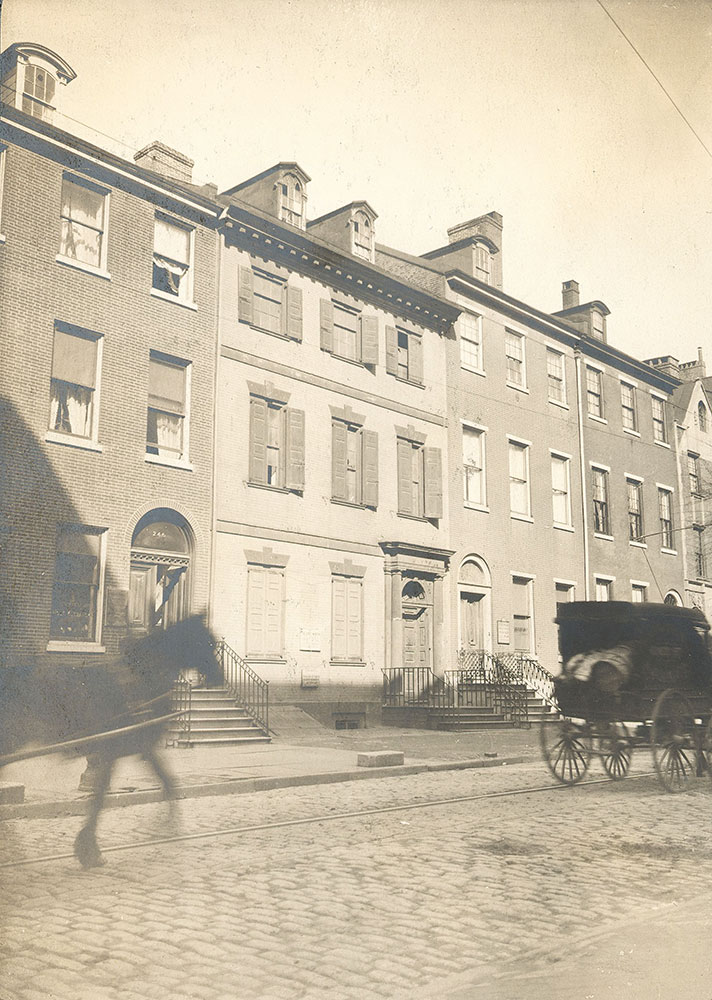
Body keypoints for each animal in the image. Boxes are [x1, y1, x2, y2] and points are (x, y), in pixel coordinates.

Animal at [0, 616, 222, 868]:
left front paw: (167, 825)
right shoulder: (110, 751)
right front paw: (89, 850)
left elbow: (166, 779)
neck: (144, 677)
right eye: (206, 642)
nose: (219, 678)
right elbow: (99, 797)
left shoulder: (141, 748)